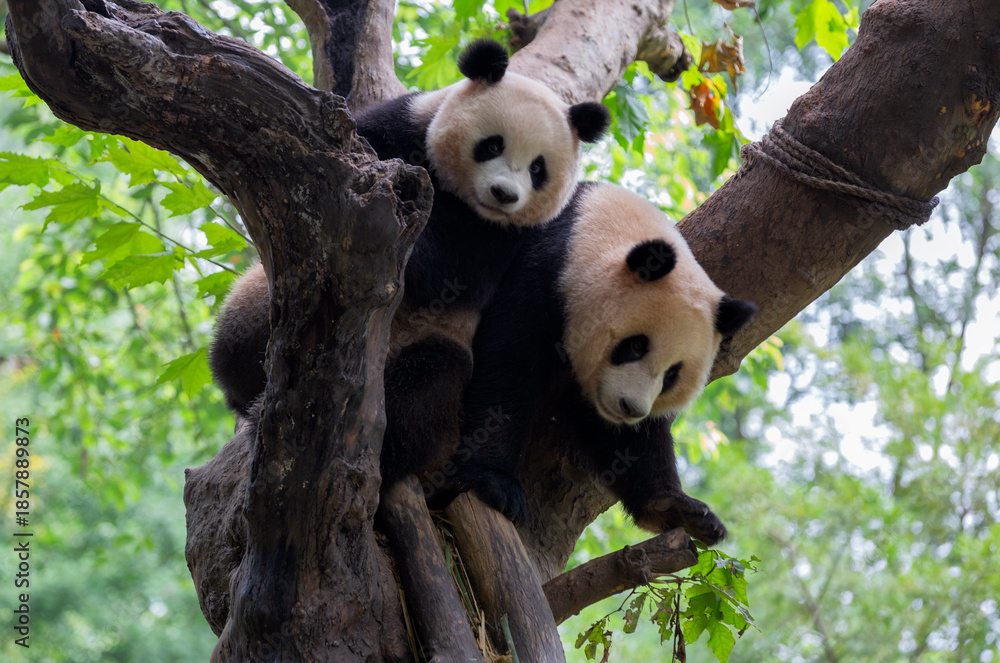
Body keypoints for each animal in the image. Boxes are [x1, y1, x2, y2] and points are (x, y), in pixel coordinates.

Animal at [209, 39, 610, 491]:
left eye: (538, 168)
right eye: (493, 145)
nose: (505, 194)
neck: (461, 199)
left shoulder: (512, 239)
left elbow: (453, 274)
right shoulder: (401, 126)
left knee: (432, 380)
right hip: (256, 305)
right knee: (248, 330)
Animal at [447, 182, 757, 546]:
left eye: (672, 374)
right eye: (635, 346)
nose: (630, 408)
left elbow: (632, 440)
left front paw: (680, 509)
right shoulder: (545, 271)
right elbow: (508, 361)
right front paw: (495, 482)